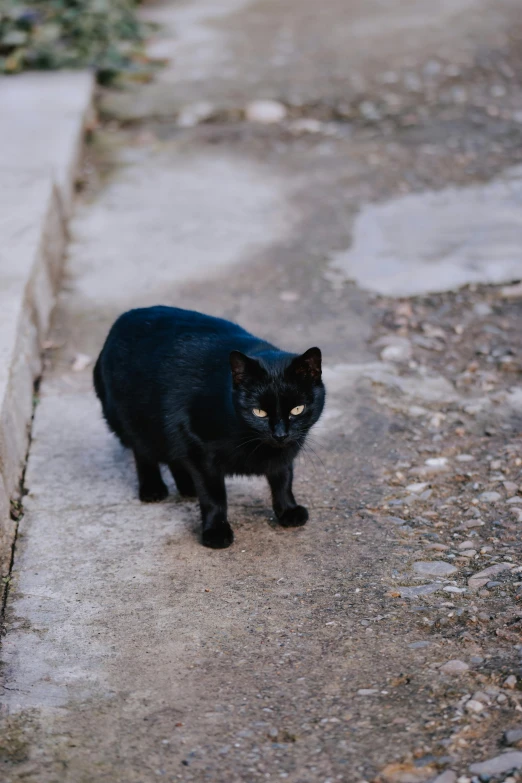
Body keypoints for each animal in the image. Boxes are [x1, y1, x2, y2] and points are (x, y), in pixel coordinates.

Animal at [91, 304, 322, 548]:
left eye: (297, 409)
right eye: (259, 412)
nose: (280, 434)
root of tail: (127, 316)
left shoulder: (285, 452)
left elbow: (283, 478)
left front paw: (288, 510)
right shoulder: (198, 447)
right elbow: (214, 496)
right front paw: (216, 531)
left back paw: (188, 487)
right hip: (134, 421)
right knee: (143, 452)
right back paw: (153, 488)